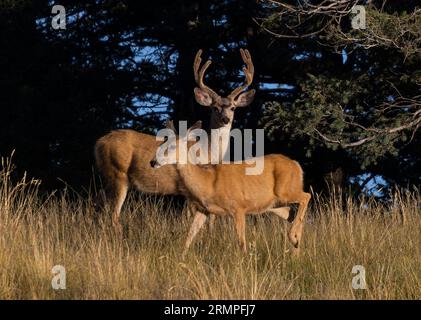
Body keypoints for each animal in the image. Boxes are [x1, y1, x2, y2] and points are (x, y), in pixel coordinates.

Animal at [94, 48, 256, 228]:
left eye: (233, 108)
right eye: (214, 108)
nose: (225, 119)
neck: (208, 152)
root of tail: (99, 142)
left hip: (109, 177)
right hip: (118, 173)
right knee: (113, 214)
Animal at [149, 121, 310, 256]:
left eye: (171, 147)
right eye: (160, 144)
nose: (153, 162)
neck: (208, 183)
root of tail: (297, 166)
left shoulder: (238, 206)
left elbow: (241, 241)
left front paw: (245, 261)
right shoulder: (204, 210)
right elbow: (190, 234)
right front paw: (181, 257)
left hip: (286, 191)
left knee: (306, 196)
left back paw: (293, 239)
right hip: (274, 204)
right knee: (292, 214)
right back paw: (296, 250)